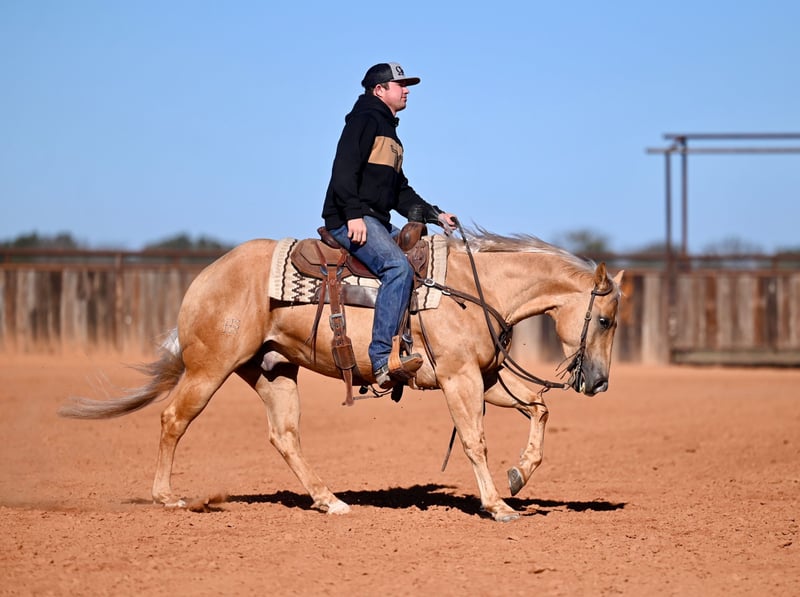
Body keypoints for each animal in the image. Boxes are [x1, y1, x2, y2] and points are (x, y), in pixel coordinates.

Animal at [60, 229, 624, 522]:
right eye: (604, 319)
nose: (598, 383)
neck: (473, 287)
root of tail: (204, 277)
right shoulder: (459, 378)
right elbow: (474, 440)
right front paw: (497, 505)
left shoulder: (485, 378)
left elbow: (539, 408)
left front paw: (518, 476)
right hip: (209, 368)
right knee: (174, 419)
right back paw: (167, 497)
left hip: (273, 371)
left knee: (284, 435)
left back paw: (329, 500)